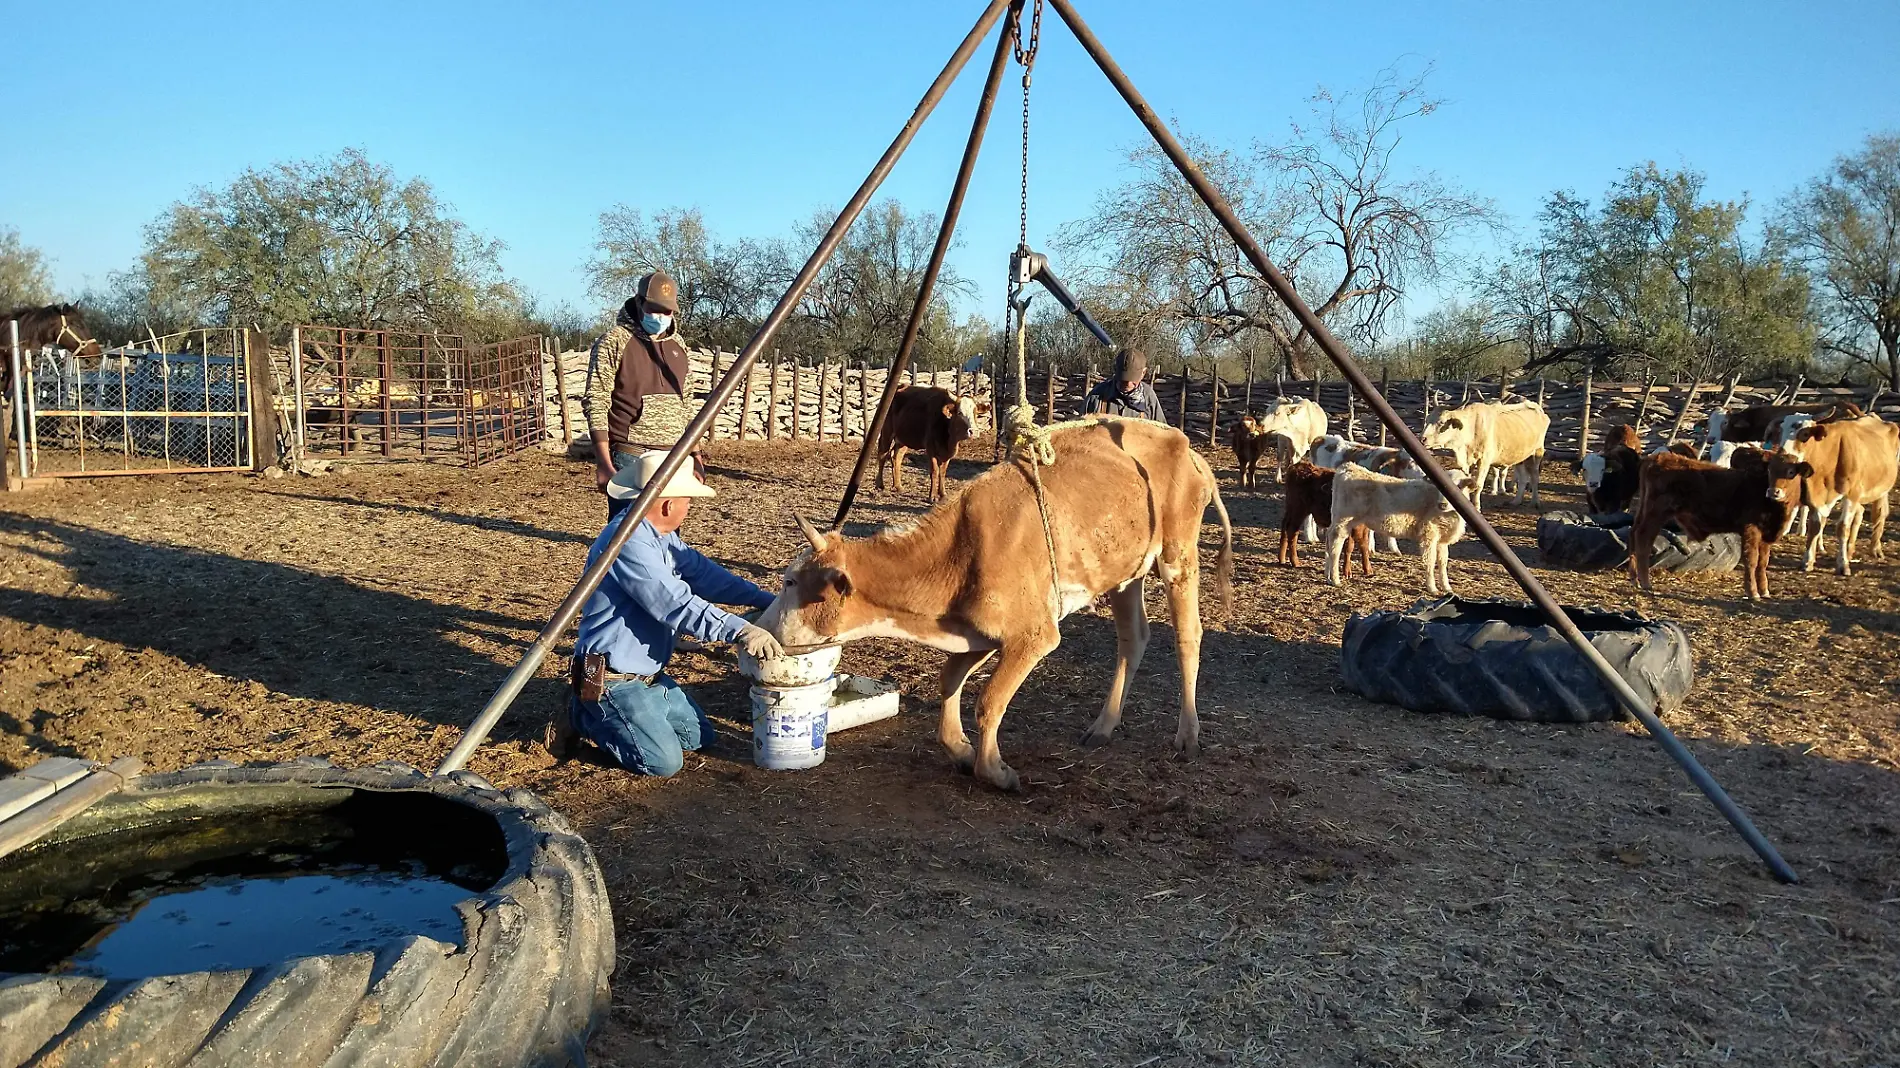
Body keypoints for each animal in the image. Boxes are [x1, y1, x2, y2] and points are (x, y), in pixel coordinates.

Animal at [756, 416, 1231, 790]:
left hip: (1179, 555)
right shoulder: (975, 631)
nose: (761, 632)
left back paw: (1187, 735)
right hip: (1124, 572)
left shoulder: (1034, 633)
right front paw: (960, 749)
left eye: (791, 581)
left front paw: (994, 770)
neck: (958, 549)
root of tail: (1184, 444)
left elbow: (988, 701)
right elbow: (949, 680)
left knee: (1188, 637)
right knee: (1133, 639)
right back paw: (1103, 726)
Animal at [1770, 414, 1892, 573]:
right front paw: (1808, 561)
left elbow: (1842, 528)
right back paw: (1850, 550)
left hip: (1881, 491)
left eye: (1805, 434)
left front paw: (1843, 564)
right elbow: (1815, 527)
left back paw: (1875, 549)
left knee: (1879, 514)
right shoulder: (1817, 497)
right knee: (1859, 513)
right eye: (1781, 431)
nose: (1783, 459)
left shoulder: (1851, 495)